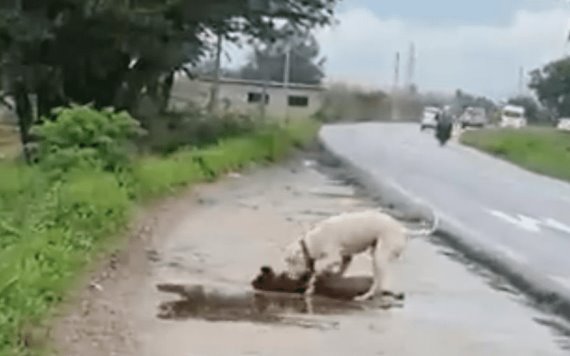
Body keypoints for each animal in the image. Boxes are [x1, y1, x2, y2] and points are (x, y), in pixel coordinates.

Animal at [282, 209, 438, 300]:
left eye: (291, 261)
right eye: (287, 261)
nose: (288, 276)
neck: (311, 241)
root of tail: (403, 230)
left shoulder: (332, 256)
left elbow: (319, 270)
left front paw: (312, 284)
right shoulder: (346, 257)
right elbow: (340, 269)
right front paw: (332, 277)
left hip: (379, 256)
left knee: (378, 283)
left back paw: (365, 296)